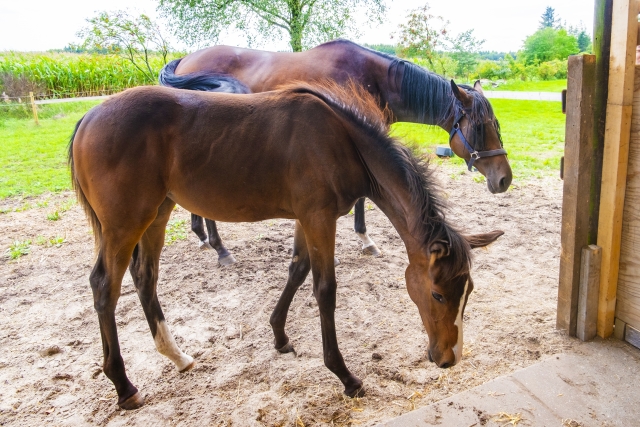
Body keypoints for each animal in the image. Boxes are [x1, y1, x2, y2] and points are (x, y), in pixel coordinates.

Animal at [67, 82, 502, 410]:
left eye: (468, 292)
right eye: (438, 294)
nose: (449, 358)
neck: (342, 139)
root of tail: (88, 117)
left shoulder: (306, 219)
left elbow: (297, 269)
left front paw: (279, 337)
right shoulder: (319, 218)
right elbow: (325, 290)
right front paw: (345, 376)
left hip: (157, 213)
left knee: (145, 278)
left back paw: (178, 357)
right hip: (125, 224)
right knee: (104, 287)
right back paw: (124, 387)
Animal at [161, 40, 516, 266]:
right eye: (480, 127)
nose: (504, 179)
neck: (375, 79)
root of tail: (184, 60)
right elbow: (362, 199)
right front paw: (366, 241)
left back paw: (204, 238)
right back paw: (220, 249)